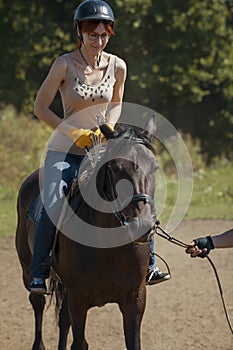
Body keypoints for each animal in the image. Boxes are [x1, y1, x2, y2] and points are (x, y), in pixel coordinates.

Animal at [15, 114, 158, 348]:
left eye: (154, 166)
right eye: (115, 167)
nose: (142, 225)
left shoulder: (135, 299)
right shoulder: (79, 300)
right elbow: (80, 343)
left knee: (63, 320)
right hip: (27, 268)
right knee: (37, 302)